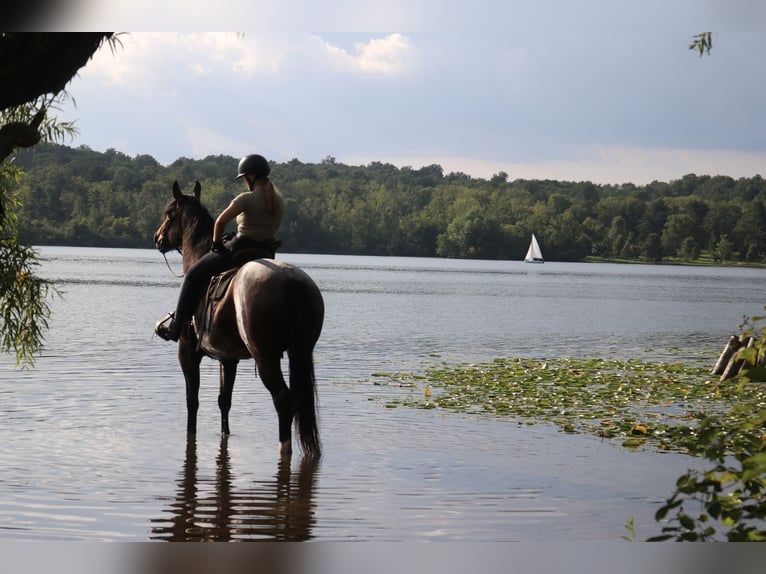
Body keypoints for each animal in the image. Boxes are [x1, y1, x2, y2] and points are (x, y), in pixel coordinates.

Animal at [153, 180, 324, 459]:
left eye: (169, 214)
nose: (157, 238)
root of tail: (291, 281)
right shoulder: (228, 358)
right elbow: (224, 401)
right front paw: (225, 434)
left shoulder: (188, 352)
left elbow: (192, 401)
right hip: (300, 351)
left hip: (265, 357)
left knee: (283, 399)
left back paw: (284, 447)